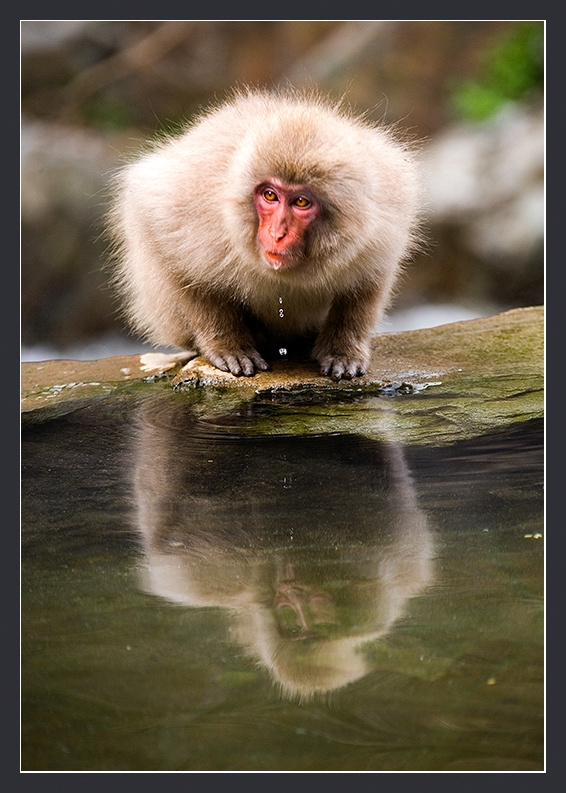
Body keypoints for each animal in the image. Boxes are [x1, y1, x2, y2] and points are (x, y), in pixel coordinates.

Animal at [108, 87, 420, 380]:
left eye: (301, 202)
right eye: (270, 195)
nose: (277, 233)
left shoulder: (382, 224)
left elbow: (370, 279)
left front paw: (342, 350)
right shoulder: (192, 213)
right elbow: (172, 254)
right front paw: (228, 345)